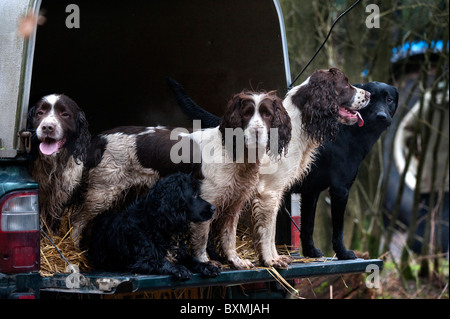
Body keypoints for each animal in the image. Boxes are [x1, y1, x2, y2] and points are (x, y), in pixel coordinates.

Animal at [87, 174, 221, 282]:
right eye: (193, 195)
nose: (214, 208)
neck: (158, 226)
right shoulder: (141, 260)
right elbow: (161, 262)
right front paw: (179, 268)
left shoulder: (180, 253)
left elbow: (193, 259)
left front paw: (208, 266)